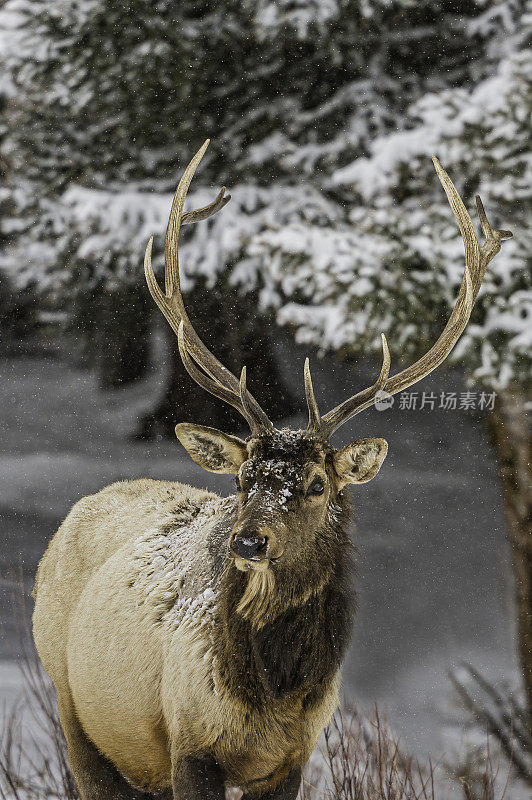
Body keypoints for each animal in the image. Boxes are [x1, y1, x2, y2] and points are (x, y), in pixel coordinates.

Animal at [32, 144, 512, 800]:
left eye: (316, 484)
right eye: (241, 480)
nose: (248, 542)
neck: (272, 698)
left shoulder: (291, 758)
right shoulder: (189, 744)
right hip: (71, 704)